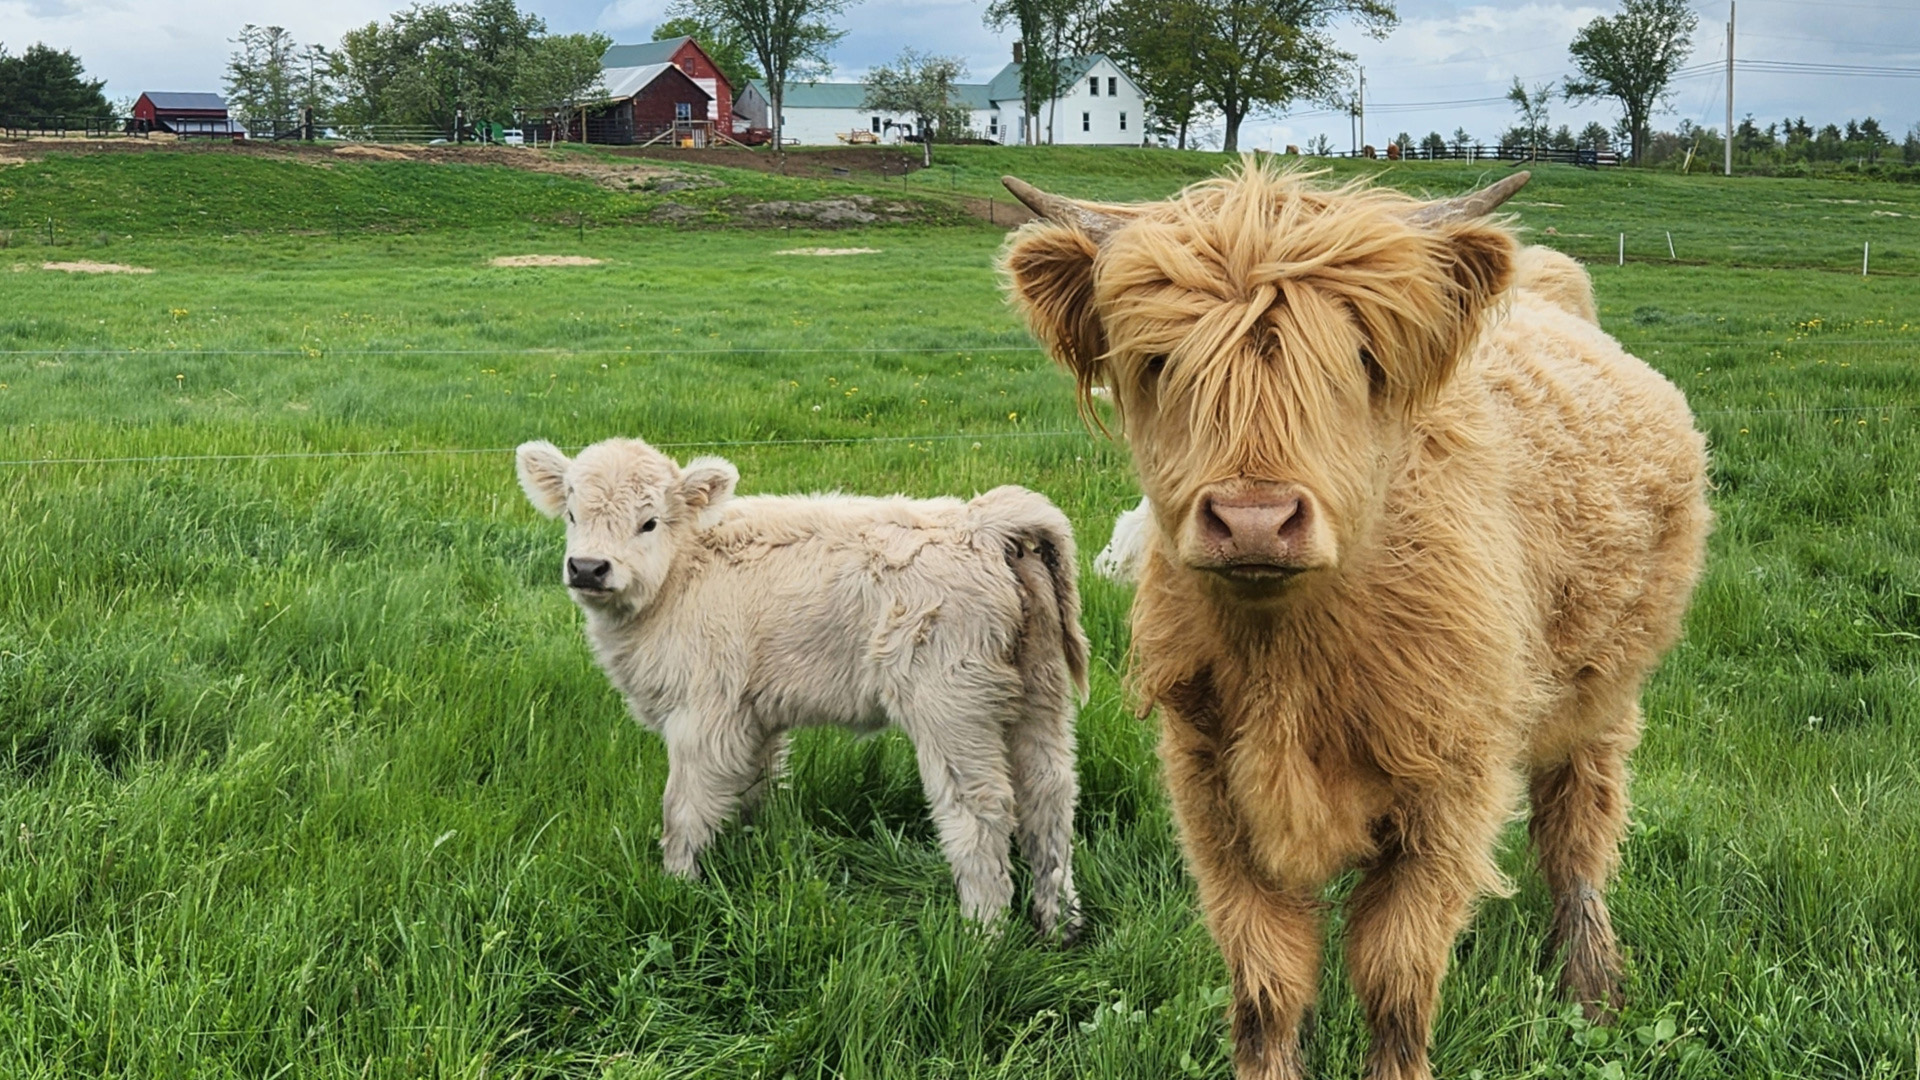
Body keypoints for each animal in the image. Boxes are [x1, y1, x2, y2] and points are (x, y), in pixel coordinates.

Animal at [522, 438, 1098, 933]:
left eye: (649, 522)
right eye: (572, 514)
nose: (588, 568)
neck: (684, 572)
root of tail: (983, 523)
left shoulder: (703, 715)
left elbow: (683, 809)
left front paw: (678, 887)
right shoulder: (755, 718)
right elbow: (754, 788)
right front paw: (749, 851)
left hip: (952, 706)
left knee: (981, 808)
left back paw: (982, 934)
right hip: (1041, 694)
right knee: (1050, 793)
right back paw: (1061, 923)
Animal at [998, 161, 1704, 1076]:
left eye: (1361, 358)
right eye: (1158, 361)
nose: (1254, 519)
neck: (1289, 662)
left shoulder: (1451, 790)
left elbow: (1395, 971)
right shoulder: (1209, 784)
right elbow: (1265, 977)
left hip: (1605, 696)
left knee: (1578, 831)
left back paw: (1593, 991)